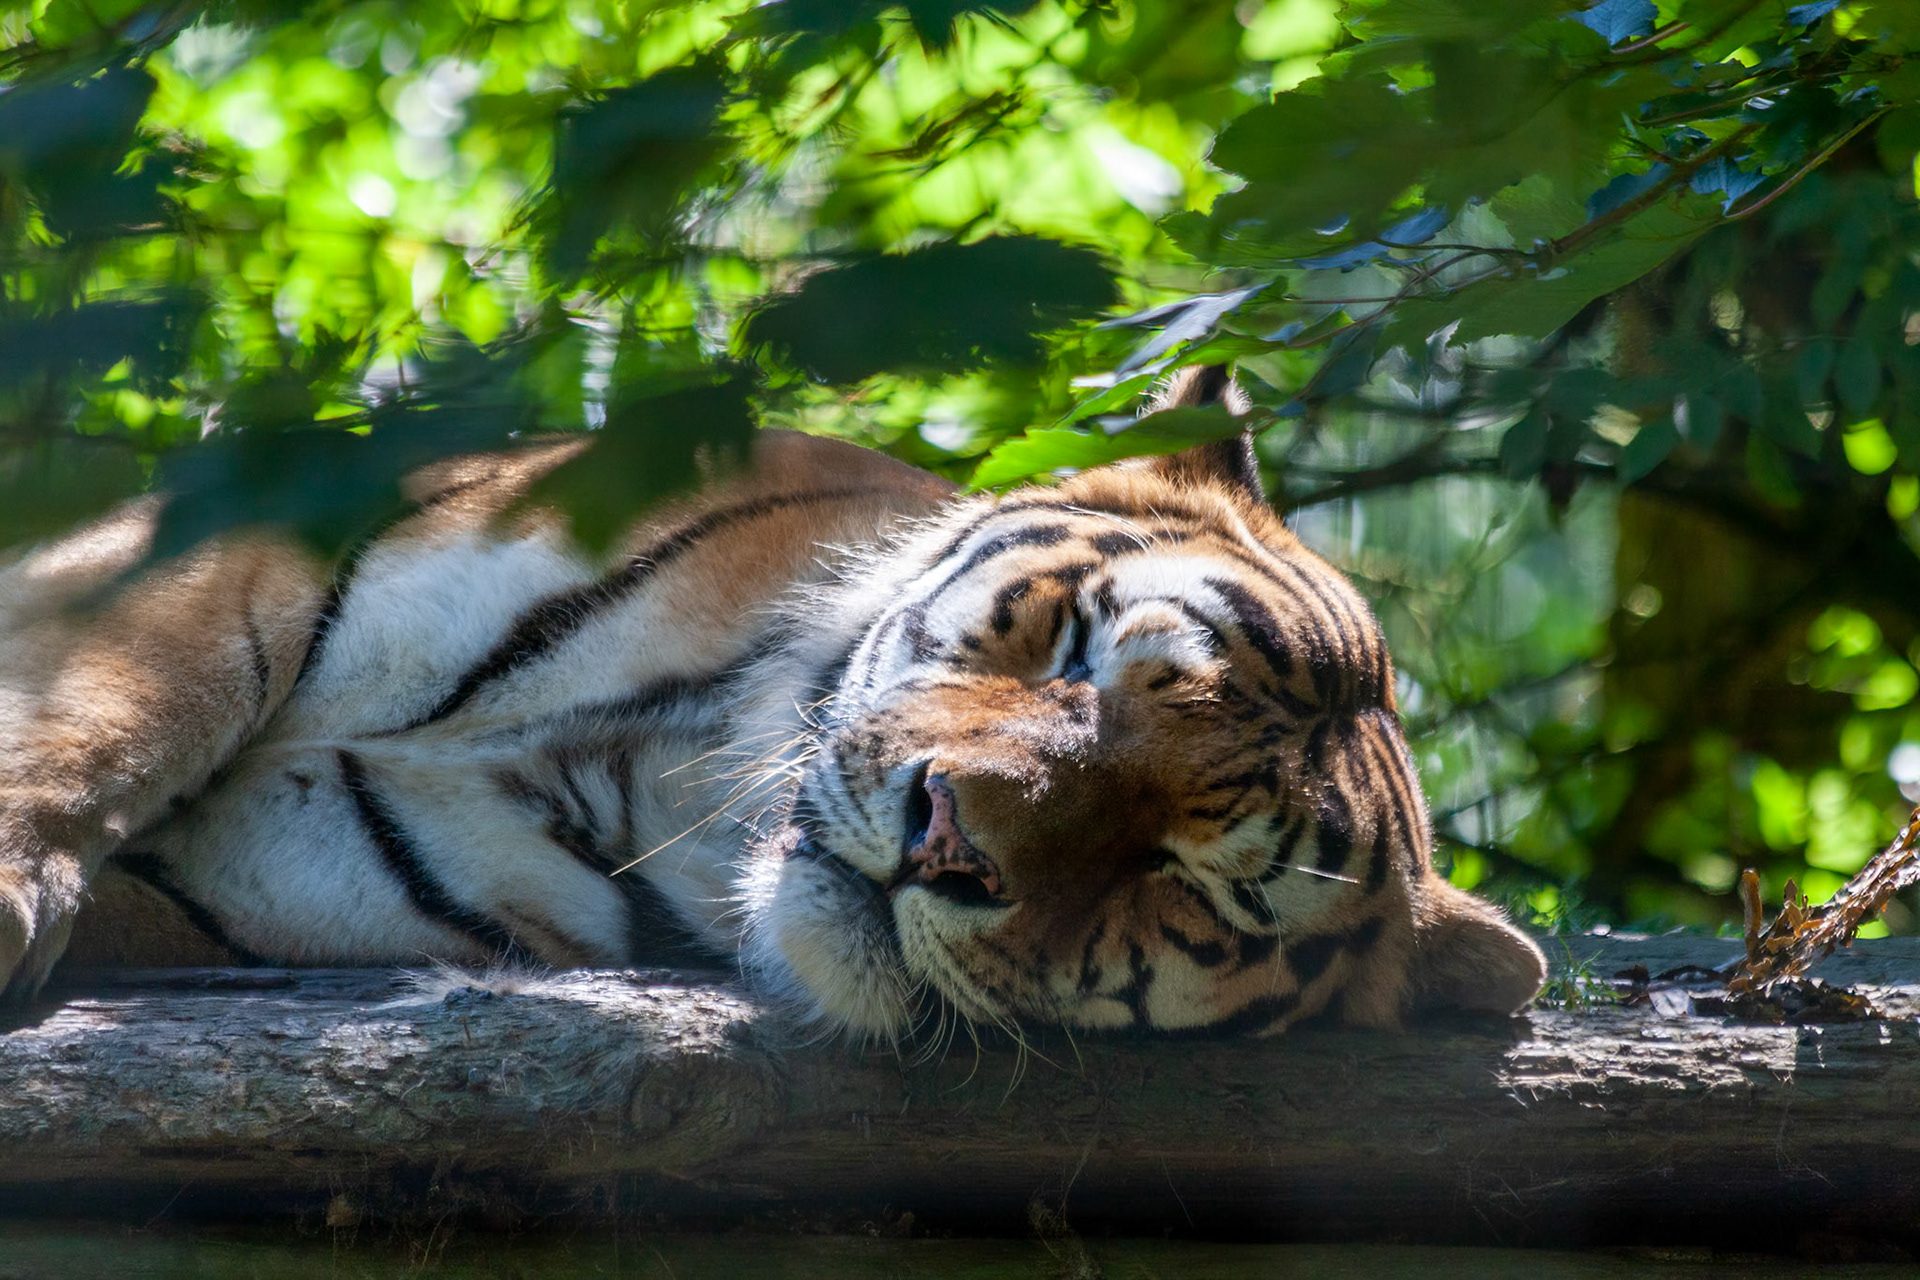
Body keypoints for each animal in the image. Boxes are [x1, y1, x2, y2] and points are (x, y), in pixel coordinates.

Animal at [0, 367, 1545, 1040]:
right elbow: (111, 708)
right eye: (1081, 652)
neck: (665, 762)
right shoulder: (237, 552)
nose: (946, 840)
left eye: (1192, 881)